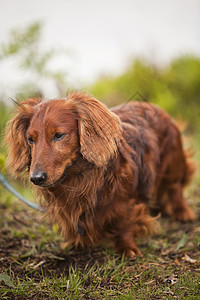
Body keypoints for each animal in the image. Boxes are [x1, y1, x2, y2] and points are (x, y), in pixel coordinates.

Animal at [4, 92, 195, 256]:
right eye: (30, 139)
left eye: (59, 135)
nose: (36, 178)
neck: (76, 175)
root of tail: (155, 107)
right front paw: (74, 242)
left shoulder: (126, 200)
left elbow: (124, 222)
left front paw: (127, 247)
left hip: (173, 164)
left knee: (175, 188)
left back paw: (183, 212)